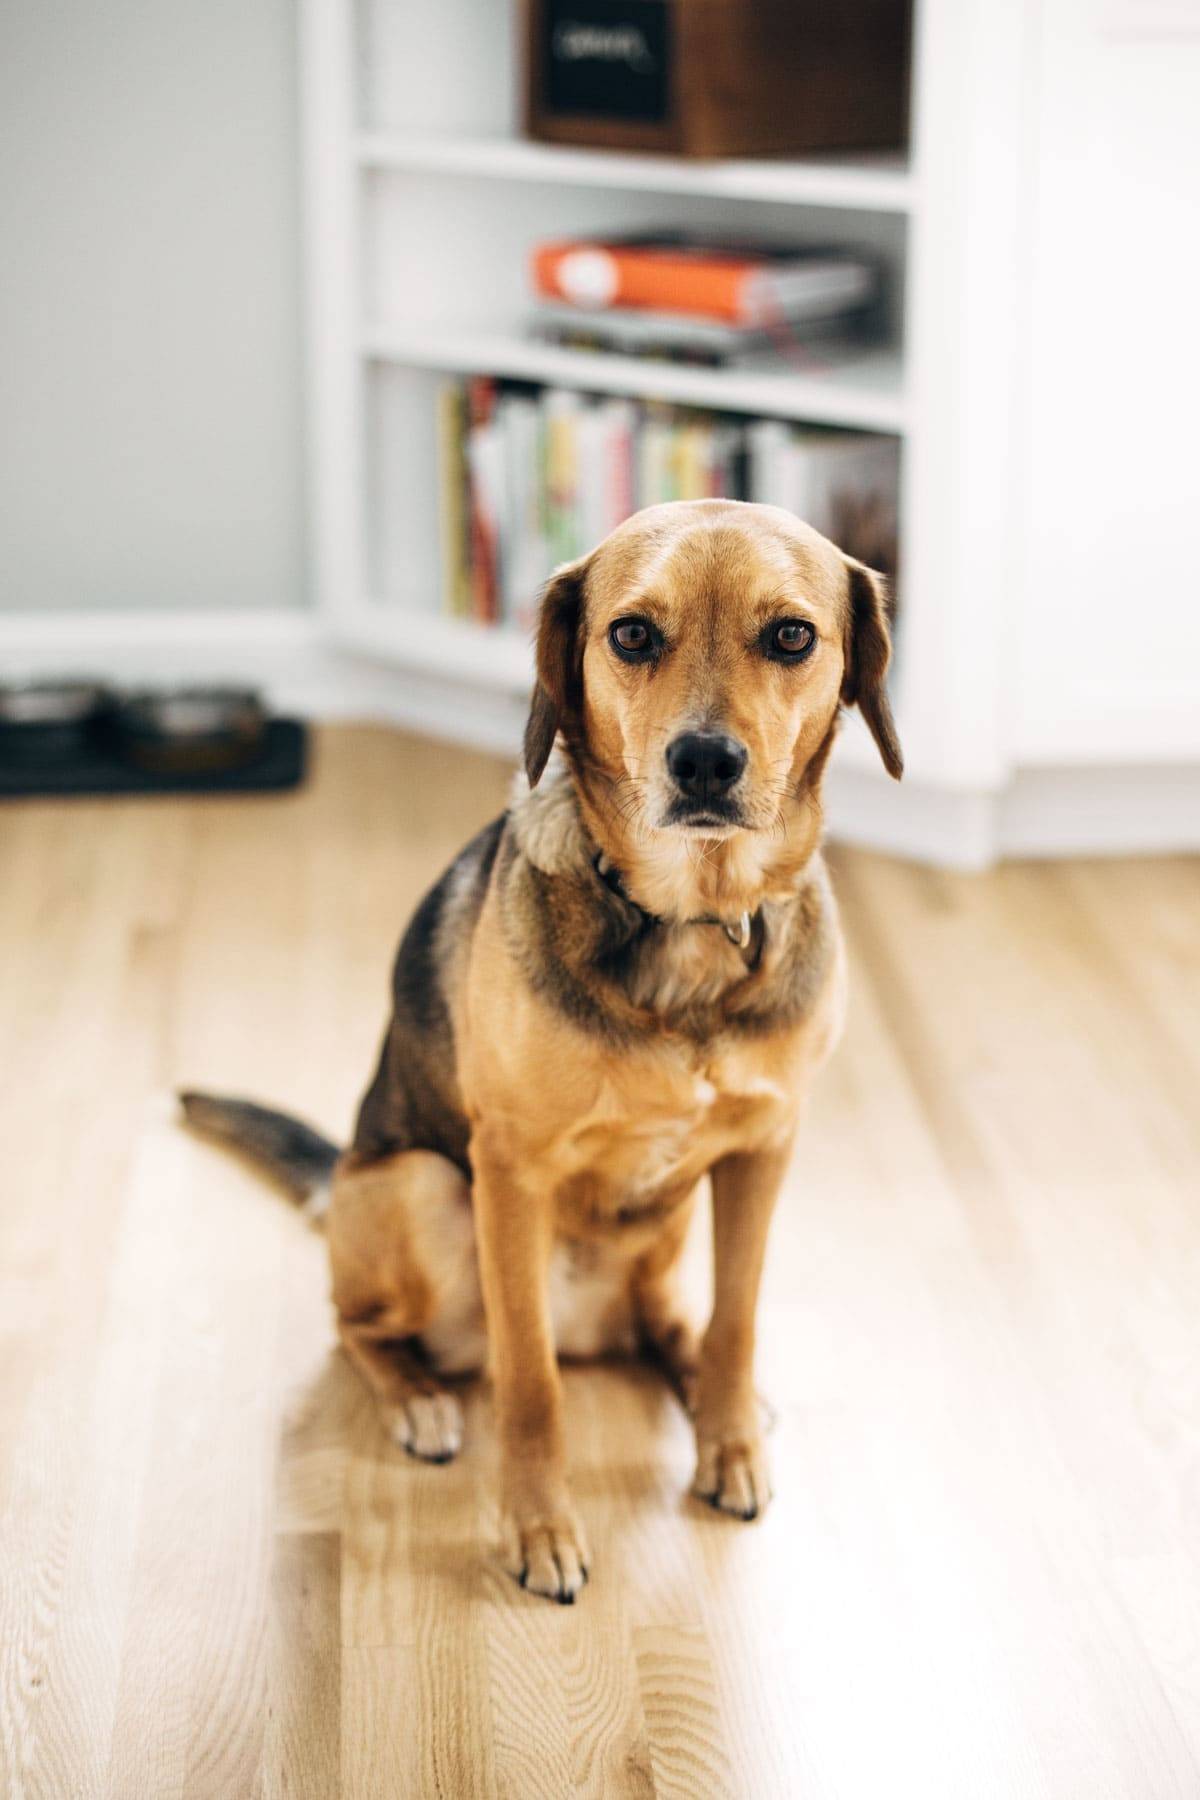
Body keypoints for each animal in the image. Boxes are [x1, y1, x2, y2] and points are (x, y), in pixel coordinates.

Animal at [183, 496, 899, 1605]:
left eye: (792, 636)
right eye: (631, 635)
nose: (704, 763)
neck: (690, 921)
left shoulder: (764, 1148)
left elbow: (736, 1320)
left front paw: (729, 1438)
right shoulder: (509, 1173)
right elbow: (531, 1384)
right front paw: (539, 1529)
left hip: (668, 1224)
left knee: (669, 1321)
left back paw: (704, 1385)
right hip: (423, 1190)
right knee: (361, 1325)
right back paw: (418, 1396)